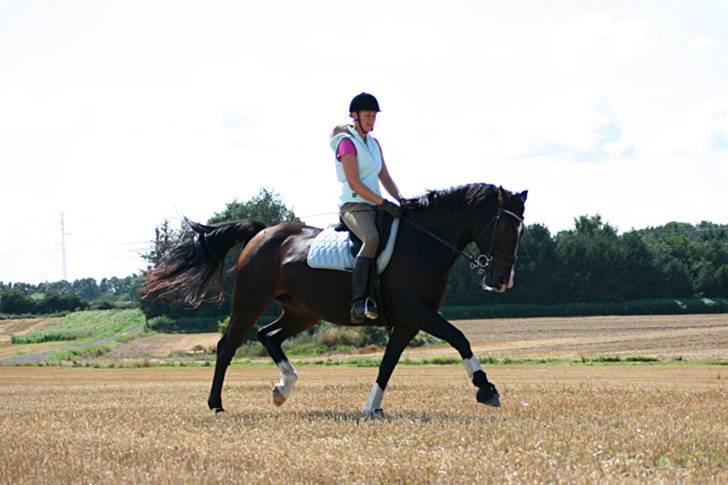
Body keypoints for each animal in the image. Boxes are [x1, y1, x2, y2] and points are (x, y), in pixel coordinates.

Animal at [144, 183, 528, 414]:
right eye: (504, 227)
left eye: (521, 228)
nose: (502, 281)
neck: (423, 242)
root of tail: (263, 232)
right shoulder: (418, 313)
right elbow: (459, 338)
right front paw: (486, 389)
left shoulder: (407, 322)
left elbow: (387, 364)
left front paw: (372, 407)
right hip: (250, 302)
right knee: (228, 345)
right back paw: (216, 404)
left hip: (303, 311)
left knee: (268, 335)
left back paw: (283, 388)